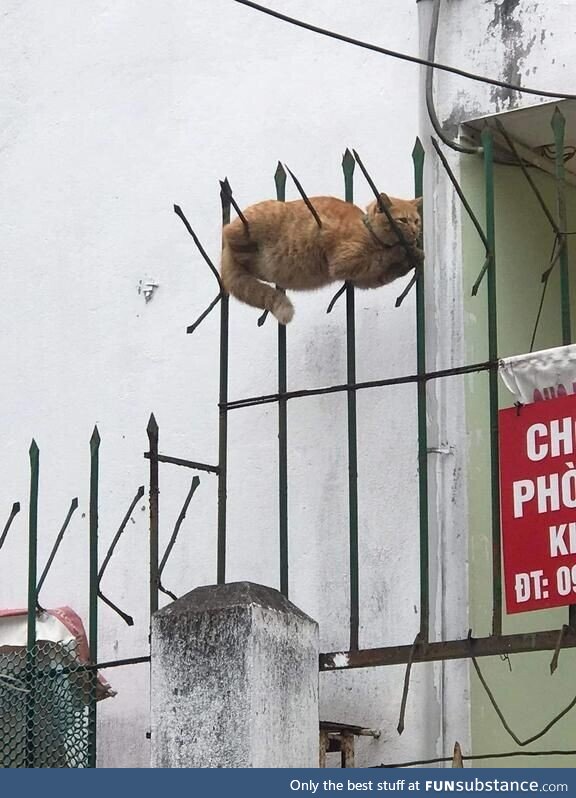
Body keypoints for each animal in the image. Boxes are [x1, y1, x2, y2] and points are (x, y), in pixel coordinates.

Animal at [220, 195, 424, 324]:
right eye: (403, 220)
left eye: (417, 221)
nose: (415, 231)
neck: (369, 230)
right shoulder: (346, 262)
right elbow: (382, 256)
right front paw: (403, 251)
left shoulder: (365, 279)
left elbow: (387, 272)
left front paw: (414, 255)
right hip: (259, 219)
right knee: (227, 231)